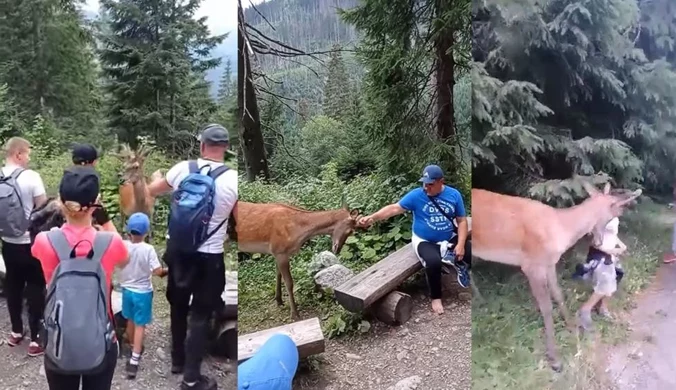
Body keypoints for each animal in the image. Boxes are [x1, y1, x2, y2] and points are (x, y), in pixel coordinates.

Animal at [231, 198, 362, 320]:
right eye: (350, 231)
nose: (337, 249)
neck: (298, 231)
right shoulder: (280, 250)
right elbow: (289, 283)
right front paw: (295, 314)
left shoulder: (278, 252)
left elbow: (278, 274)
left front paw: (279, 300)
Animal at [472, 181, 640, 370]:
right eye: (615, 214)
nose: (598, 242)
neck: (561, 228)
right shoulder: (532, 265)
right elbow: (546, 308)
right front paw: (555, 359)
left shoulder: (550, 263)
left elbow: (558, 294)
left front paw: (572, 327)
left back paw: (479, 299)